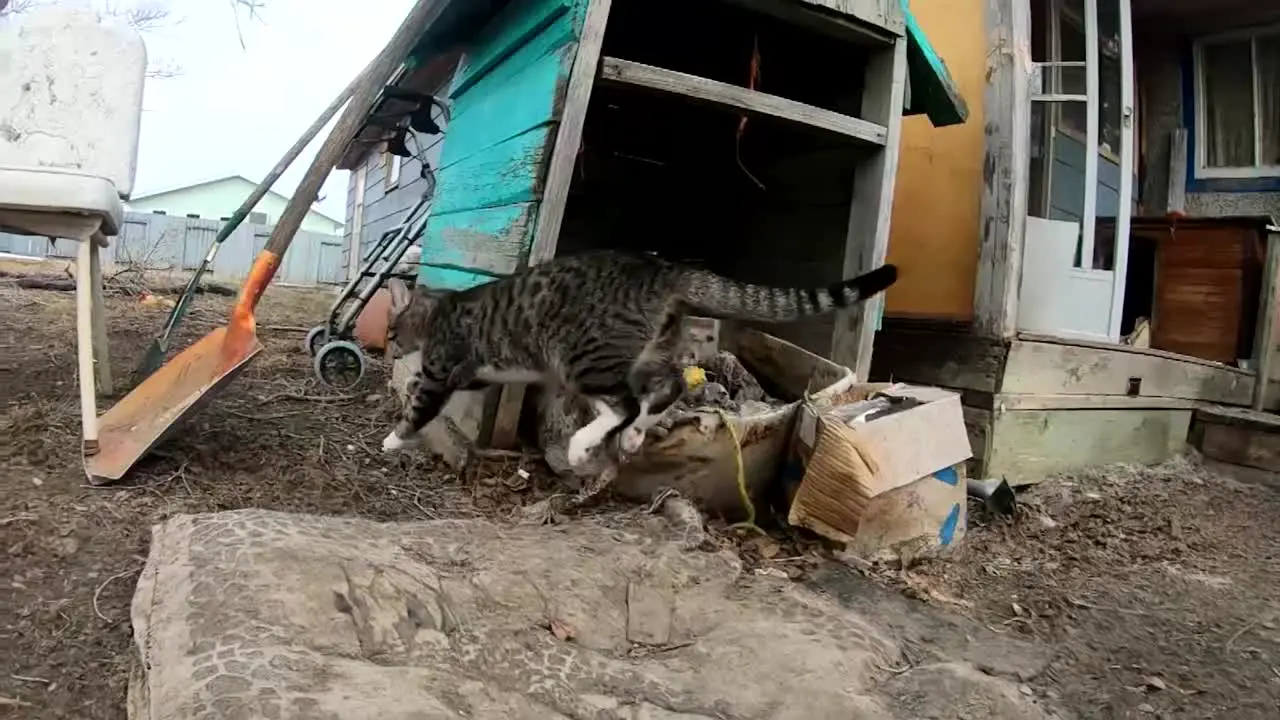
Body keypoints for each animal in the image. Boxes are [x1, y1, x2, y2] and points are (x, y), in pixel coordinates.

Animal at [378, 251, 901, 466]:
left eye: (390, 329)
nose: (388, 345)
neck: (440, 307)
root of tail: (661, 268)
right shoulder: (473, 373)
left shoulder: (443, 369)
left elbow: (420, 403)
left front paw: (393, 439)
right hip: (640, 353)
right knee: (667, 387)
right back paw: (630, 436)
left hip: (581, 356)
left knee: (625, 402)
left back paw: (583, 445)